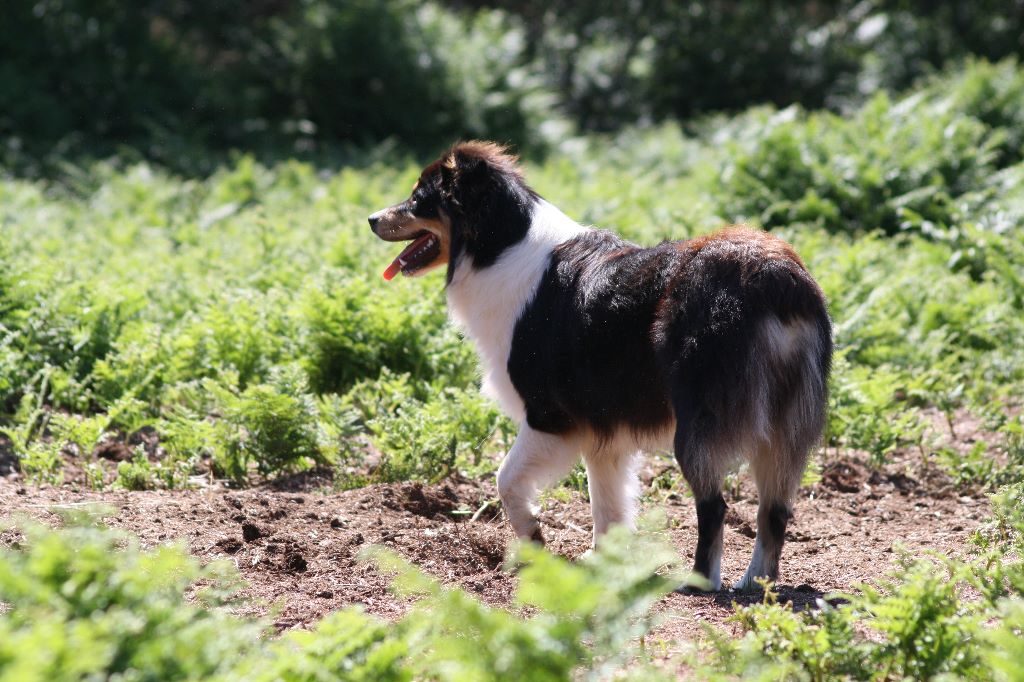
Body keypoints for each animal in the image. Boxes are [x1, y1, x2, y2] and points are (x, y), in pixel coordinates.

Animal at [369, 141, 832, 591]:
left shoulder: (551, 417)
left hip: (699, 424)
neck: (498, 246)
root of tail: (776, 277)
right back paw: (756, 582)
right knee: (774, 510)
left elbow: (506, 479)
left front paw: (533, 540)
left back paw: (701, 581)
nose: (371, 219)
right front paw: (604, 564)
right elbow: (608, 506)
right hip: (783, 428)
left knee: (715, 506)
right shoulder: (604, 433)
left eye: (418, 199)